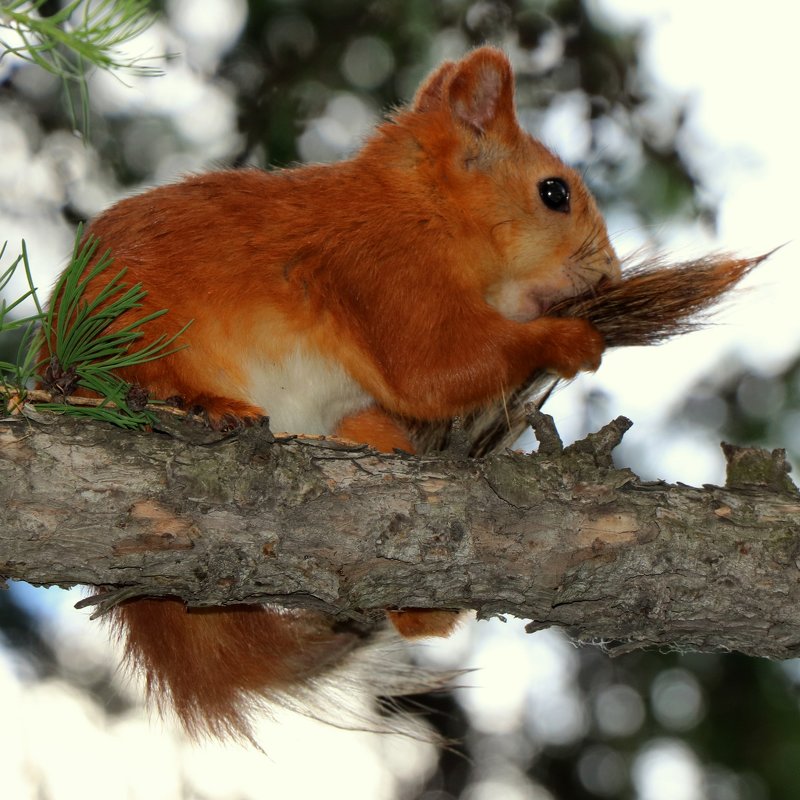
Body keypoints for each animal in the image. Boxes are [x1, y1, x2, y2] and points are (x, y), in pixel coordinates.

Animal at [50, 47, 620, 740]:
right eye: (554, 192)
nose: (611, 273)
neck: (424, 205)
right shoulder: (383, 270)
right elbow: (436, 367)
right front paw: (572, 338)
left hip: (346, 425)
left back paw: (424, 606)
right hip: (139, 338)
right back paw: (207, 405)